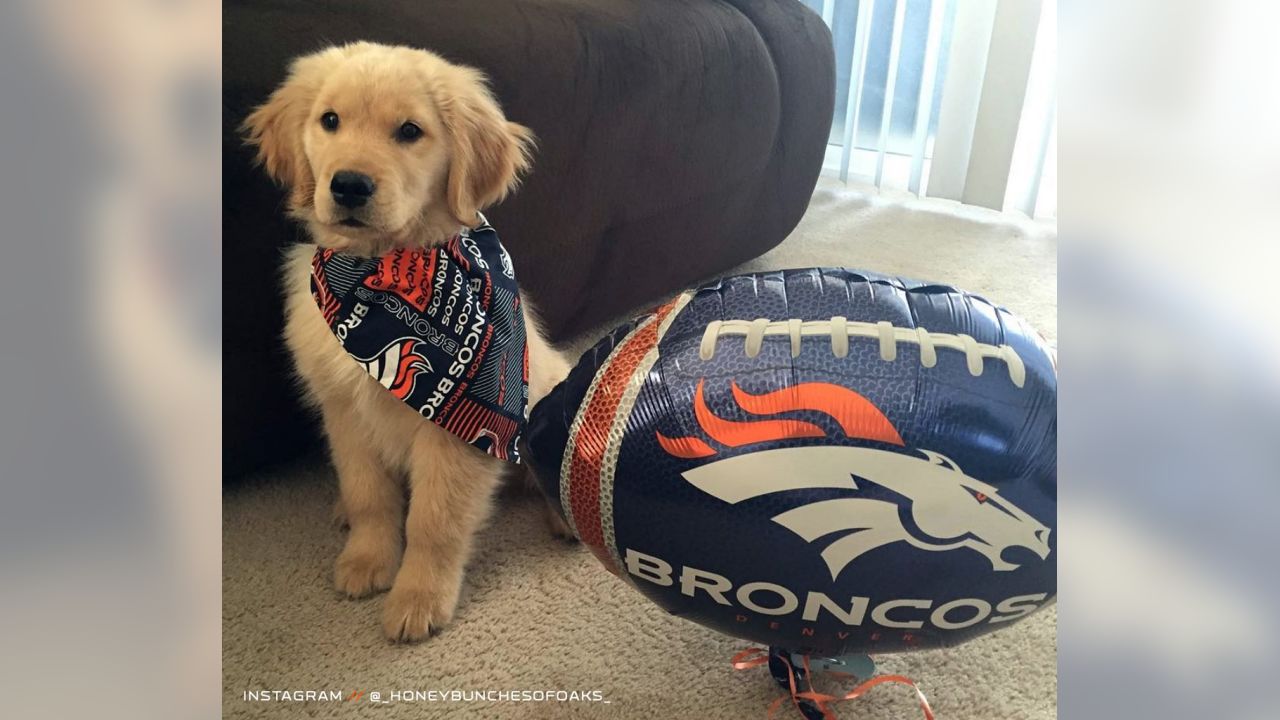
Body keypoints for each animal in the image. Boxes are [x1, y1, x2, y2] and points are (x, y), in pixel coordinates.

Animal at [243, 41, 570, 638]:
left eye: (410, 131)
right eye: (330, 121)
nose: (348, 184)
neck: (378, 276)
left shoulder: (456, 434)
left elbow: (434, 521)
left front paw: (418, 597)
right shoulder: (344, 413)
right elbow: (369, 496)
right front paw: (367, 558)